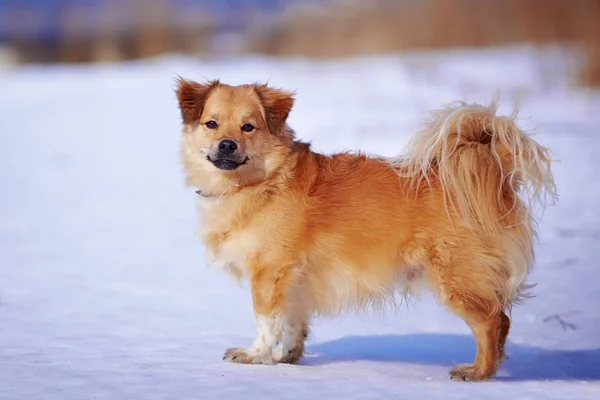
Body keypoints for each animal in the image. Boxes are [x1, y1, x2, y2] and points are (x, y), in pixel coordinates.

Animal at [175, 78, 556, 382]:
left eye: (248, 127)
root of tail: (492, 175)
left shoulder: (269, 273)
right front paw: (286, 359)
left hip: (457, 277)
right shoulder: (296, 278)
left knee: (493, 322)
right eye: (211, 124)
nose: (226, 144)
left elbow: (266, 321)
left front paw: (255, 356)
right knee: (501, 321)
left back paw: (477, 372)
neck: (259, 181)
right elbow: (294, 321)